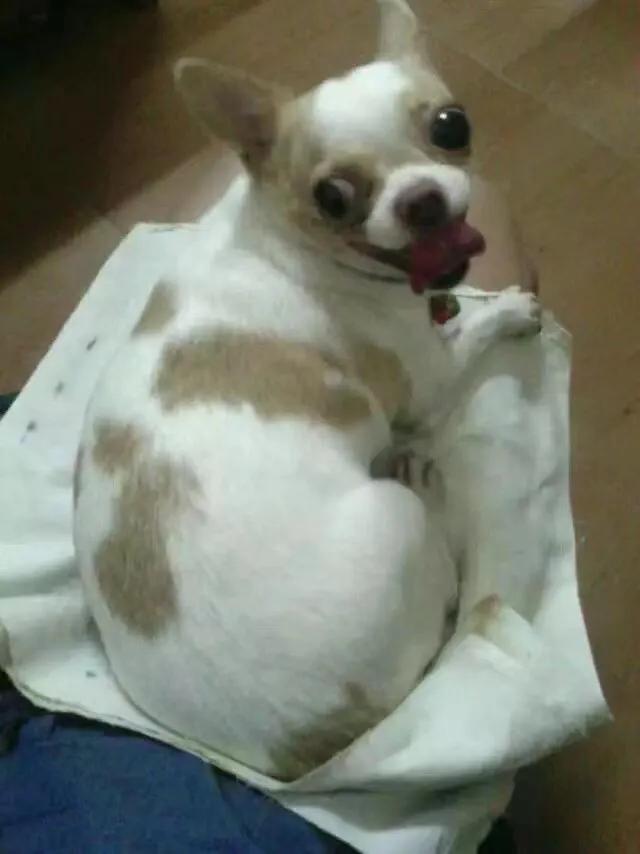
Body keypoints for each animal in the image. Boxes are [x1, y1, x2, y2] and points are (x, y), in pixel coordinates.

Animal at [74, 0, 540, 781]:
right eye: (333, 198)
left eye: (452, 126)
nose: (421, 201)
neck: (282, 238)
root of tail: (313, 751)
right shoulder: (427, 380)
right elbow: (471, 337)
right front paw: (505, 310)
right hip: (396, 523)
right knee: (445, 567)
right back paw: (426, 482)